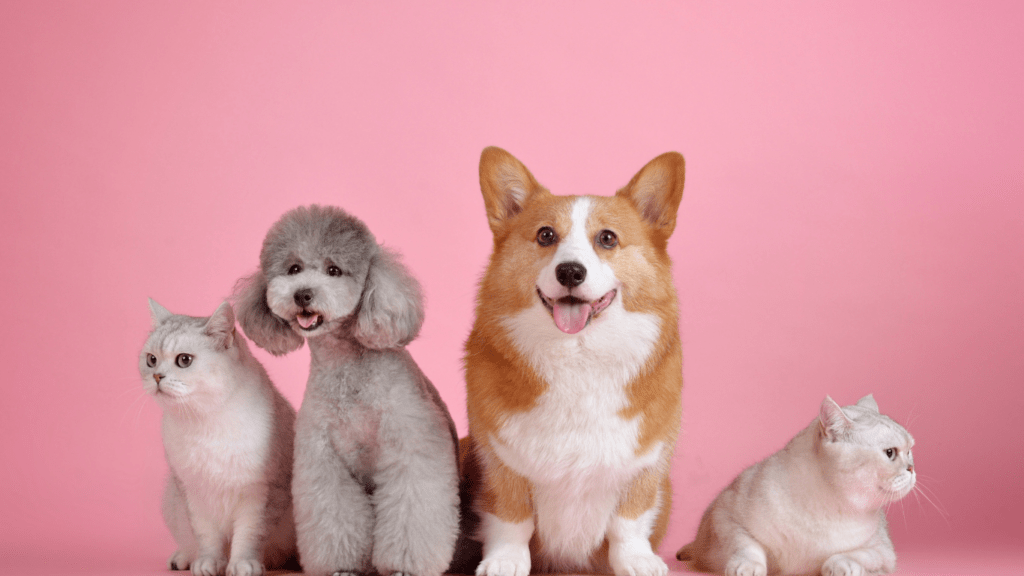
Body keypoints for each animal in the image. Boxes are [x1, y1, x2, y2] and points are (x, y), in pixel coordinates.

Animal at [138, 301, 296, 573]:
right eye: (151, 360)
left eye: (184, 360)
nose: (157, 376)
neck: (204, 421)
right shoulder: (193, 492)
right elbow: (207, 537)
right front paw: (208, 563)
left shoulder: (260, 493)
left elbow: (249, 535)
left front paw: (243, 564)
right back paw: (181, 559)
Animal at [460, 146, 684, 573]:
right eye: (545, 235)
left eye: (607, 238)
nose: (569, 272)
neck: (578, 356)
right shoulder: (497, 460)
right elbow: (512, 517)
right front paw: (505, 562)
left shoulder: (647, 461)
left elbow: (629, 521)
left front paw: (637, 561)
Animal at [675, 391, 917, 573]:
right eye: (890, 453)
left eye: (910, 451)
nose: (912, 468)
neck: (830, 507)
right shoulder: (726, 515)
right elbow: (746, 546)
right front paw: (747, 567)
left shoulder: (883, 550)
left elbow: (854, 555)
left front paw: (840, 566)